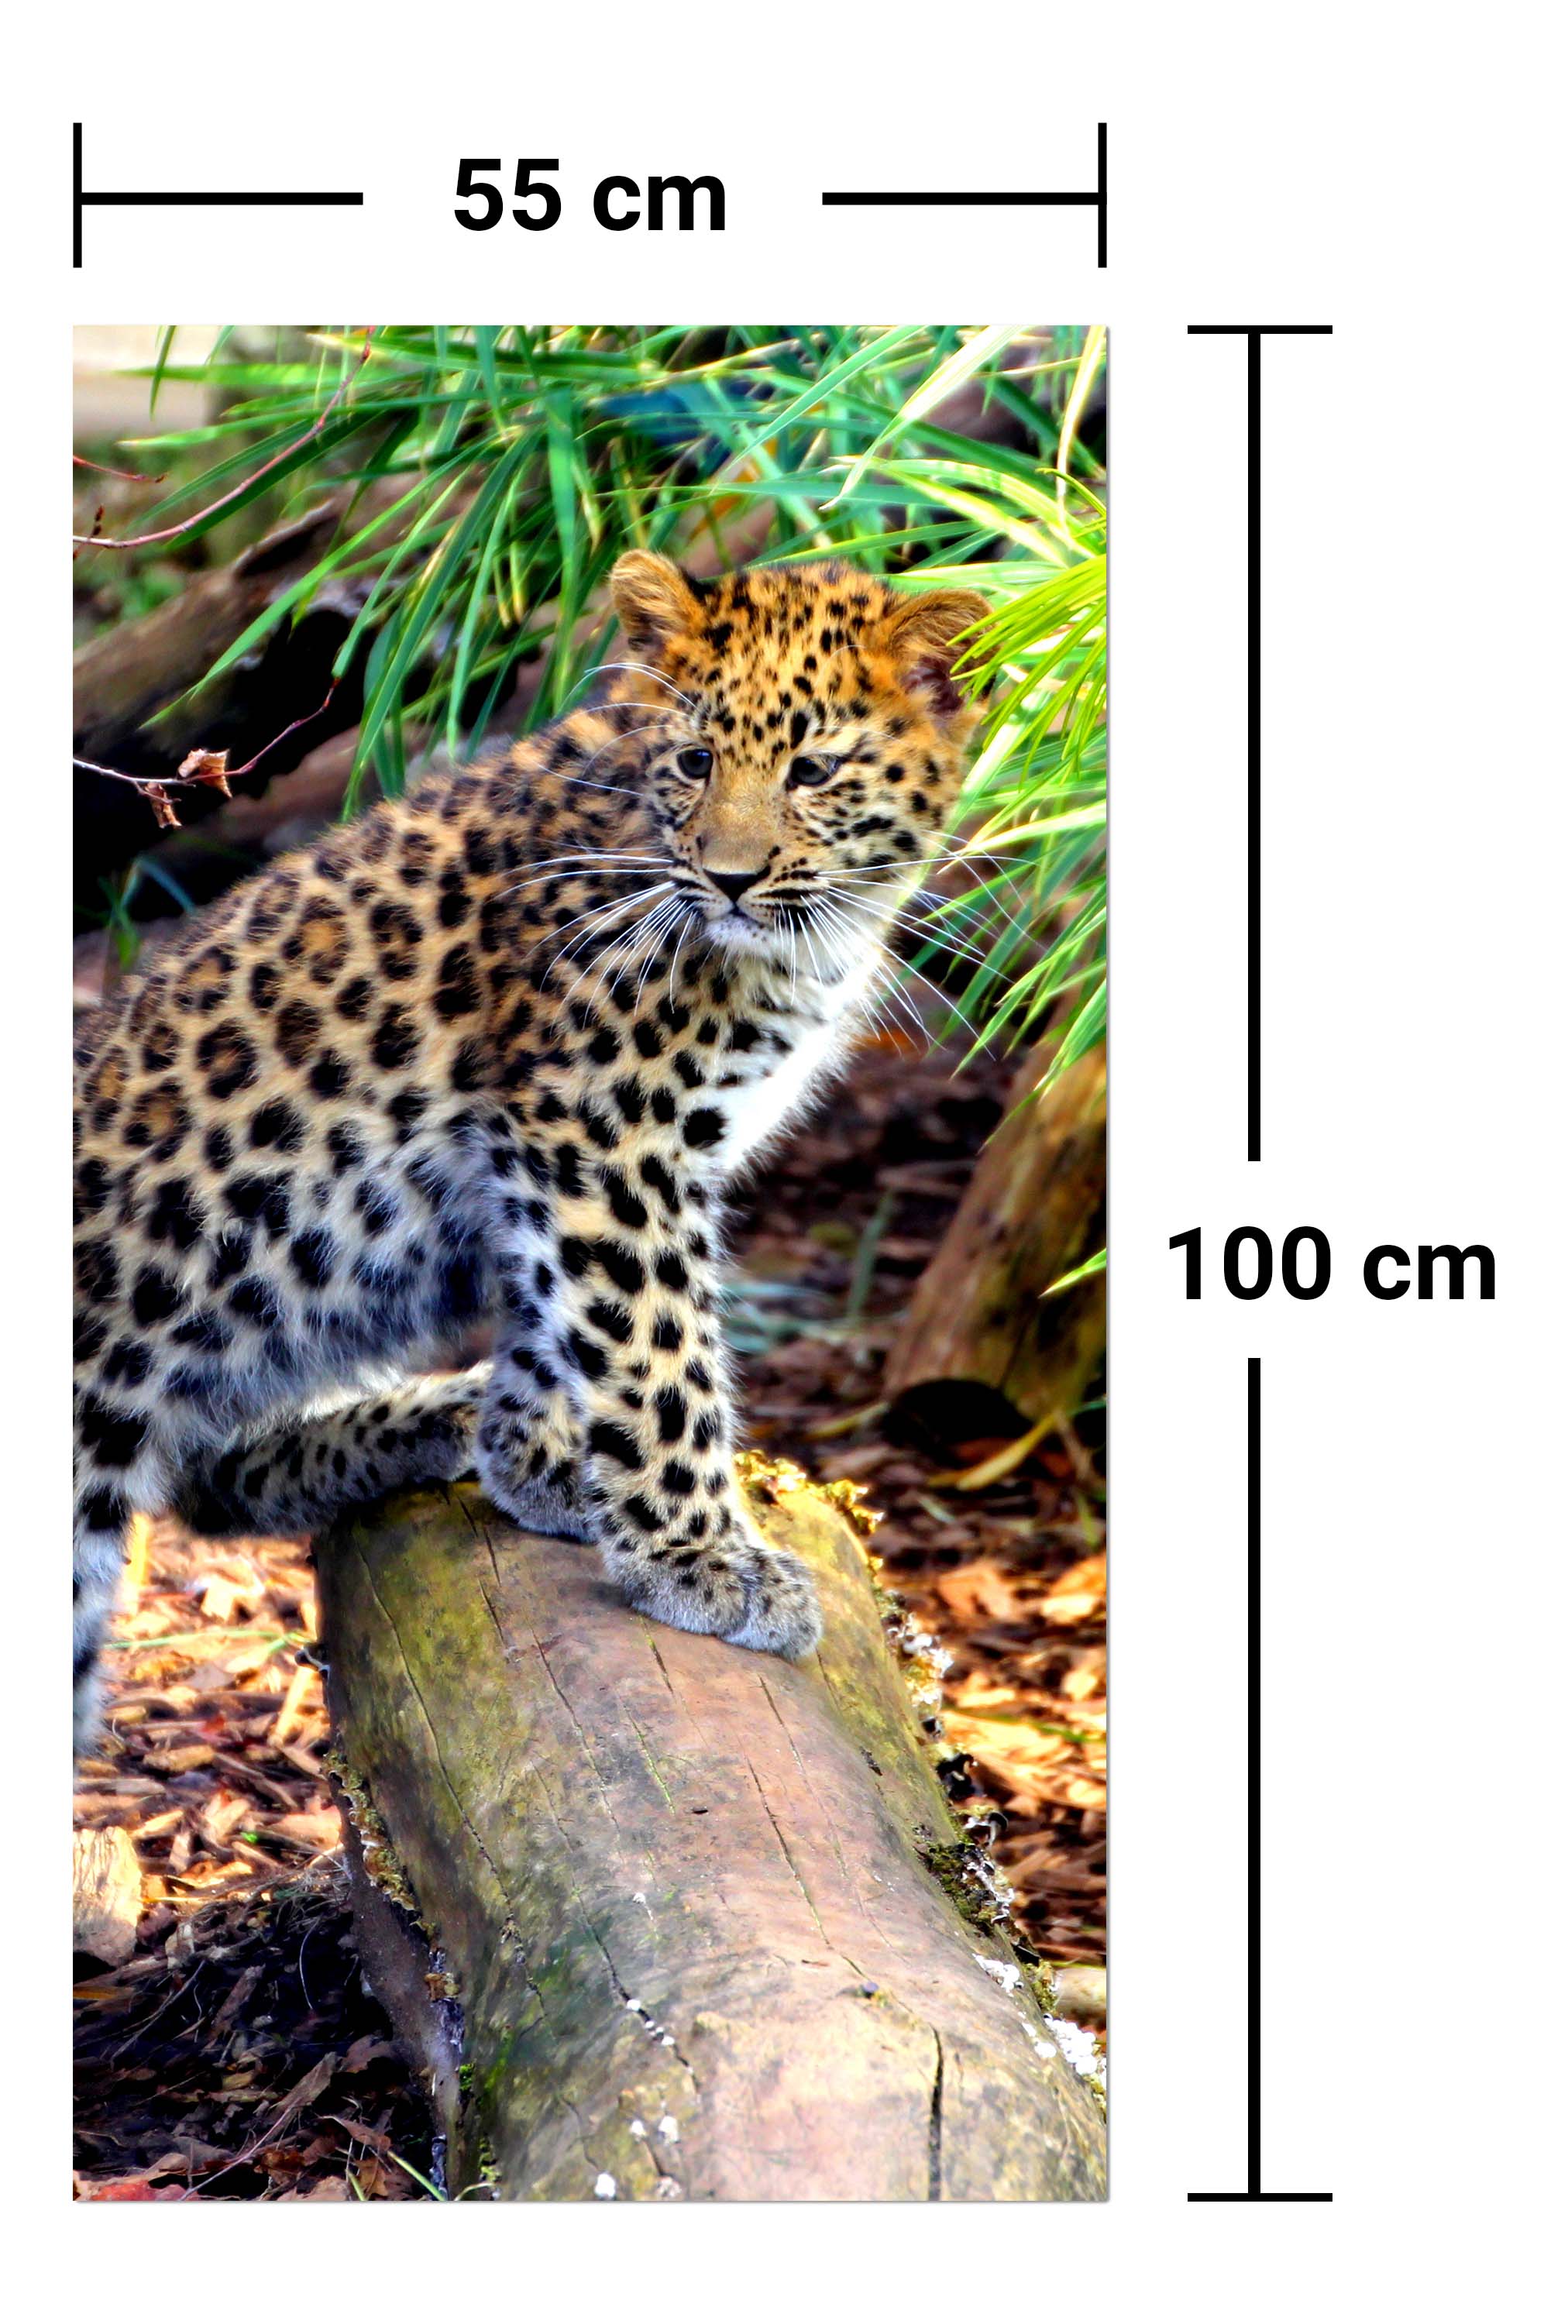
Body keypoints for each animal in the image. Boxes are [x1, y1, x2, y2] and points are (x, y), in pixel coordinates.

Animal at [72, 550, 987, 1748]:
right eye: (696, 760)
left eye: (813, 769)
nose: (732, 878)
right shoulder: (605, 1133)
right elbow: (654, 1347)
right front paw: (700, 1555)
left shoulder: (565, 1164)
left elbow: (561, 1314)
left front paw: (537, 1455)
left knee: (211, 1473)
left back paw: (432, 1416)